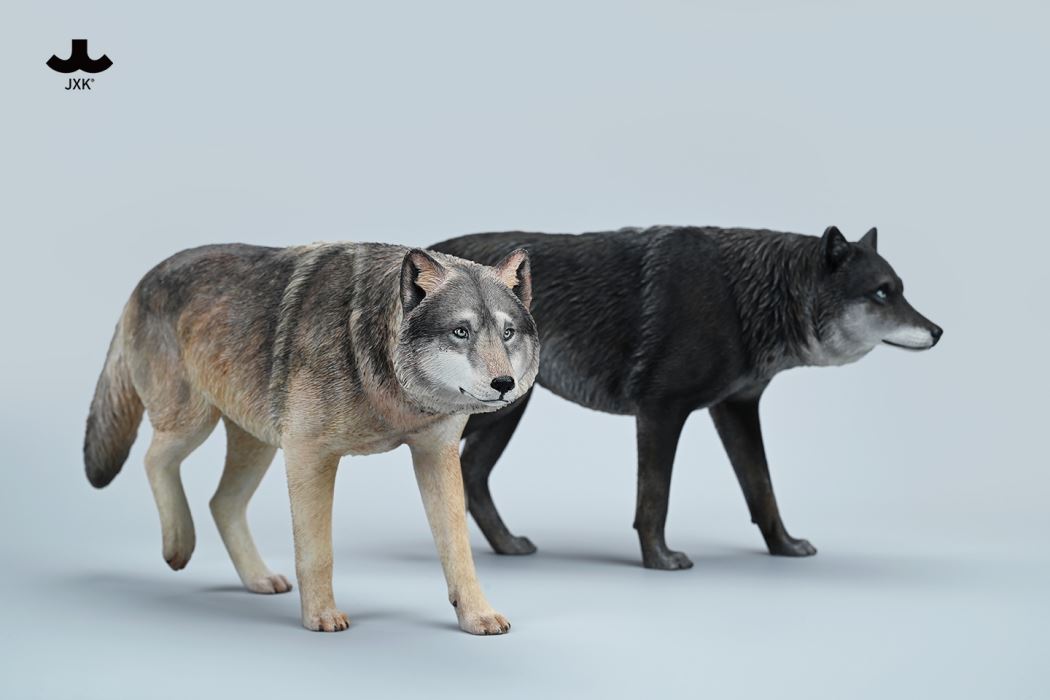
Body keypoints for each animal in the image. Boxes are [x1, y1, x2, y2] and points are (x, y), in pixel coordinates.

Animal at [84, 241, 539, 633]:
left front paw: (477, 616)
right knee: (153, 459)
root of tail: (146, 277)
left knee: (220, 503)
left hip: (258, 445)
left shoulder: (436, 454)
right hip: (194, 423)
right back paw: (179, 545)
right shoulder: (309, 454)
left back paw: (258, 578)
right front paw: (321, 616)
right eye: (461, 332)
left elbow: (458, 550)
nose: (505, 384)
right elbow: (317, 552)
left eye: (508, 333)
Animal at [431, 225, 942, 570]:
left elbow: (763, 491)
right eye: (881, 293)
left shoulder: (736, 409)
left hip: (505, 410)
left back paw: (508, 547)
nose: (938, 331)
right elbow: (655, 499)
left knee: (472, 474)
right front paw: (660, 558)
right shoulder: (660, 411)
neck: (747, 297)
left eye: (900, 290)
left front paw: (785, 548)